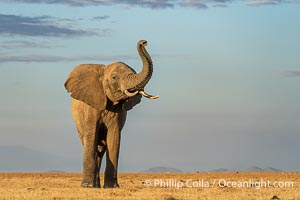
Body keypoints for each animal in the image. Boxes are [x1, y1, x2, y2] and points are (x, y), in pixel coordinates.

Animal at [64, 40, 158, 188]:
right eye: (114, 78)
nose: (144, 42)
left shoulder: (118, 113)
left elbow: (114, 137)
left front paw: (111, 187)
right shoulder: (92, 105)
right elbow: (91, 135)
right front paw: (87, 186)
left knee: (101, 148)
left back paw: (97, 184)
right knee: (90, 144)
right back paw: (94, 184)